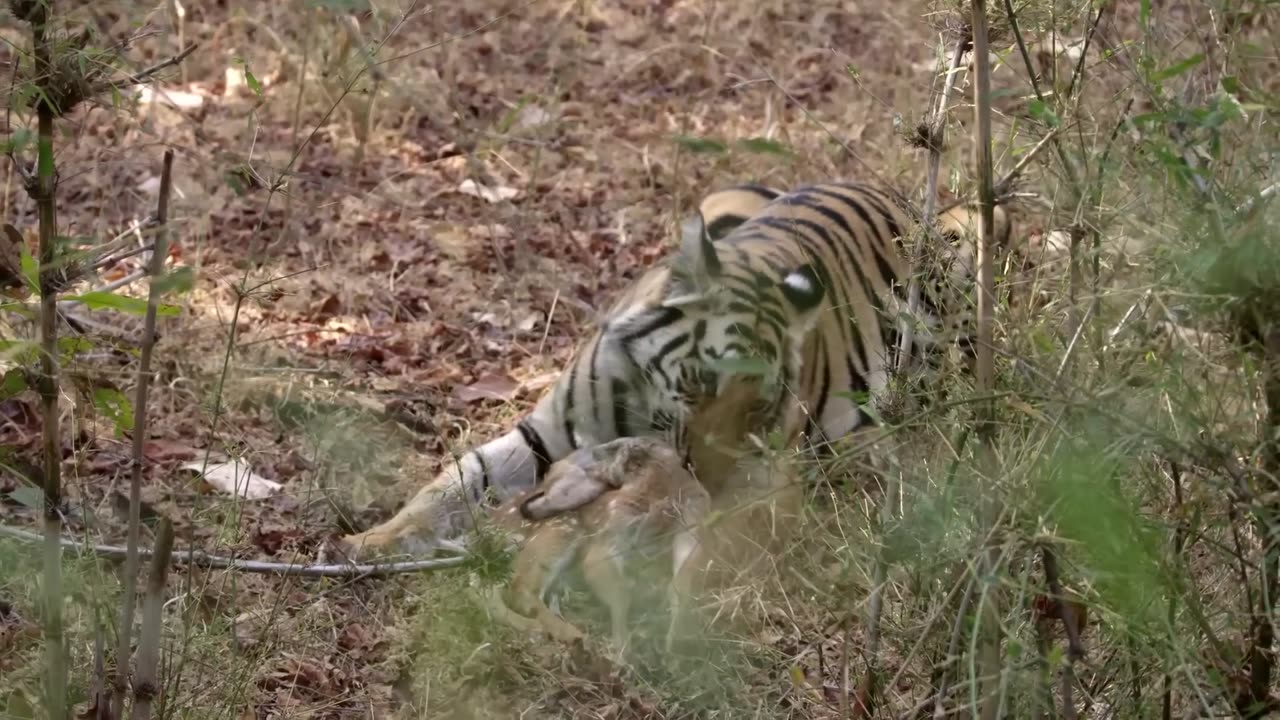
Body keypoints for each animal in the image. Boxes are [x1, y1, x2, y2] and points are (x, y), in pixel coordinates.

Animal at [337, 179, 1008, 556]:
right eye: (705, 381)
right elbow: (450, 483)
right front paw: (369, 542)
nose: (712, 480)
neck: (639, 397)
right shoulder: (542, 435)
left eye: (763, 407)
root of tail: (901, 201)